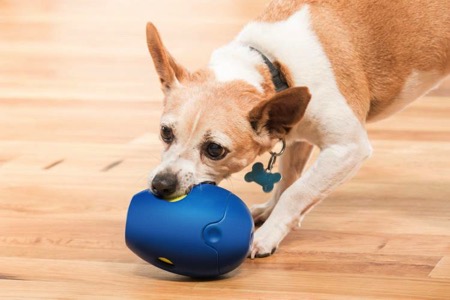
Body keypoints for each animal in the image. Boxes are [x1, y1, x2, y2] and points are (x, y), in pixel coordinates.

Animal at [146, 0, 448, 258]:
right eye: (165, 132)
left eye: (214, 149)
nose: (160, 184)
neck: (275, 65)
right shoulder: (297, 137)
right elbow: (287, 180)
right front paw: (270, 211)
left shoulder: (348, 148)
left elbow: (297, 192)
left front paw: (267, 235)